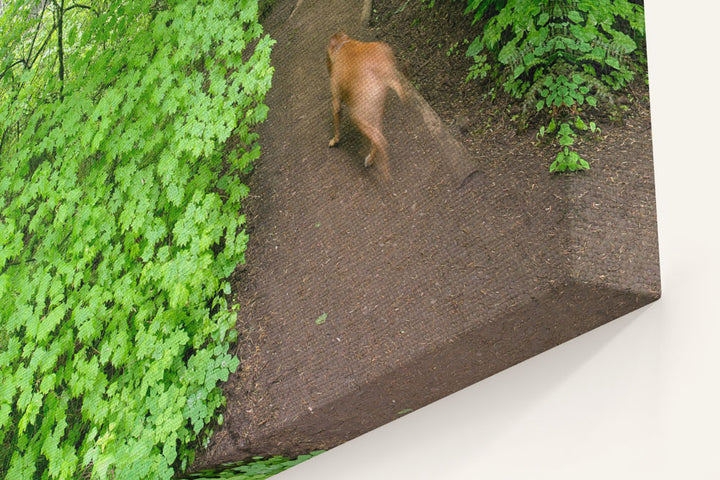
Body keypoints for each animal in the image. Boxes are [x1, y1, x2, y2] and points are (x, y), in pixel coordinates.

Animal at [326, 30, 404, 180]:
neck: (343, 44)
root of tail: (381, 69)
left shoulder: (336, 102)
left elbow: (336, 124)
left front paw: (335, 140)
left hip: (359, 114)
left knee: (380, 140)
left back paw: (384, 172)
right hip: (374, 112)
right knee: (377, 136)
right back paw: (372, 159)